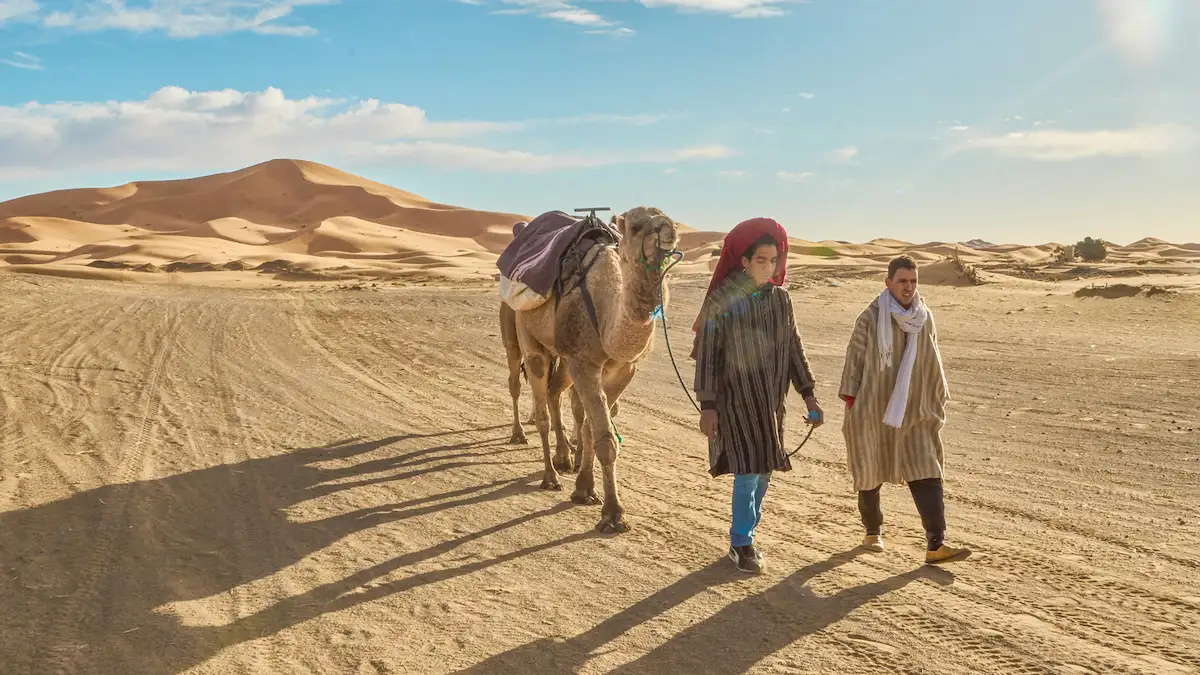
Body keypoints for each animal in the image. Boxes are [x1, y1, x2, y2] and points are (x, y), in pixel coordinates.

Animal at [516, 205, 681, 530]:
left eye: (666, 216)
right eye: (636, 226)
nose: (668, 228)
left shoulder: (622, 369)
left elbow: (592, 428)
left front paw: (584, 489)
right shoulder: (584, 362)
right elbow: (604, 437)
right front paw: (613, 514)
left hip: (565, 360)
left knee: (555, 394)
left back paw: (565, 457)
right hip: (529, 335)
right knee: (541, 407)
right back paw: (550, 476)